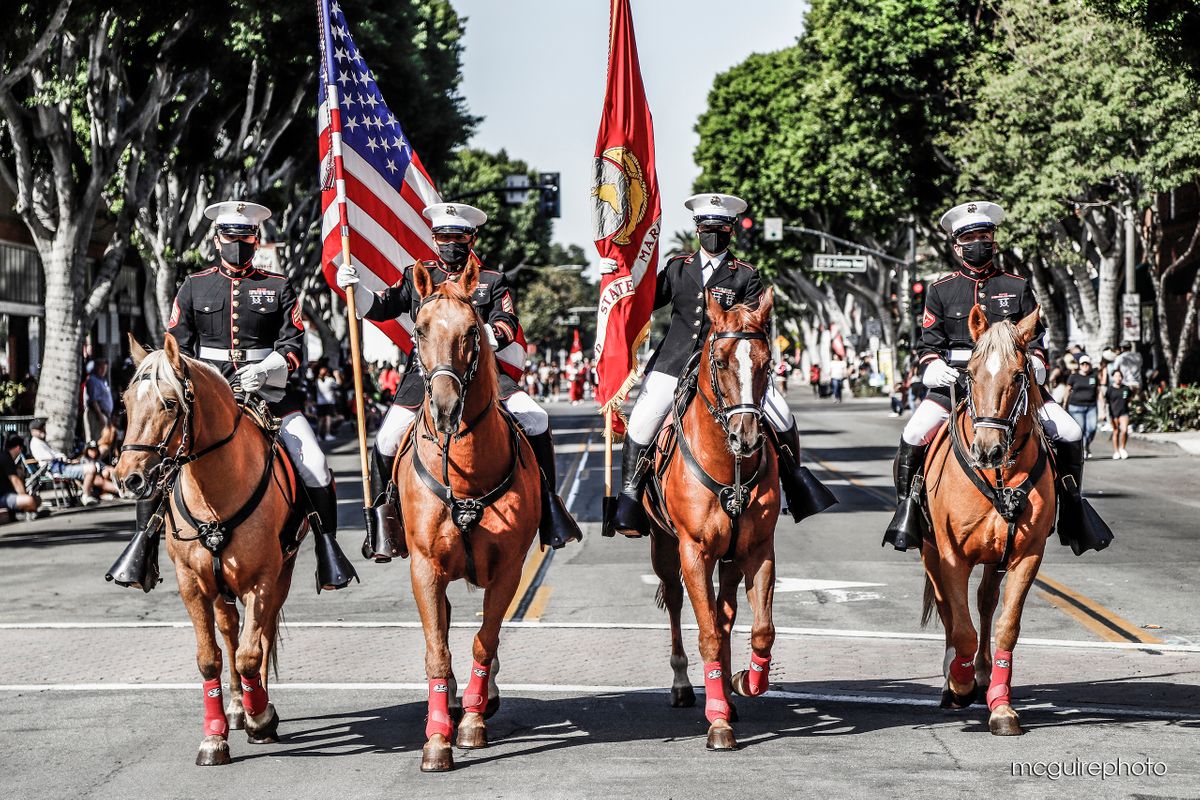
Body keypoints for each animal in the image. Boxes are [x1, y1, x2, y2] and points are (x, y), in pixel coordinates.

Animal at [116, 335, 304, 767]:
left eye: (169, 403)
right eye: (126, 401)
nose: (128, 478)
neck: (215, 491)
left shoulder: (263, 579)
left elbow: (251, 652)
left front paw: (261, 718)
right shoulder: (192, 584)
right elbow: (210, 658)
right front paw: (215, 737)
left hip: (279, 575)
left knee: (259, 638)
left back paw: (256, 705)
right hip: (220, 588)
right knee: (230, 632)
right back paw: (237, 706)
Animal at [393, 260, 540, 772]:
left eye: (472, 331)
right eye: (418, 329)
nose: (445, 407)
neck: (466, 474)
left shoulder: (510, 569)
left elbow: (485, 640)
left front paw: (473, 721)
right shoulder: (424, 567)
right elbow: (437, 650)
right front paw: (437, 738)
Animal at [643, 289, 782, 753]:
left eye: (767, 361)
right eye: (720, 361)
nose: (747, 436)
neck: (729, 467)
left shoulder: (758, 551)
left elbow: (760, 631)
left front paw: (744, 682)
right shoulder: (694, 552)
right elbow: (706, 633)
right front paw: (717, 720)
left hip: (730, 559)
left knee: (726, 615)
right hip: (665, 549)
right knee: (676, 601)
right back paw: (685, 685)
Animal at [916, 307, 1051, 738]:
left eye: (1020, 375)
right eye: (971, 374)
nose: (987, 450)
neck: (999, 477)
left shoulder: (1027, 554)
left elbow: (1006, 625)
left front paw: (1001, 706)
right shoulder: (951, 554)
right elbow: (961, 627)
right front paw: (958, 685)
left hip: (995, 557)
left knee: (986, 601)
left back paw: (983, 673)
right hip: (929, 550)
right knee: (948, 608)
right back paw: (955, 676)